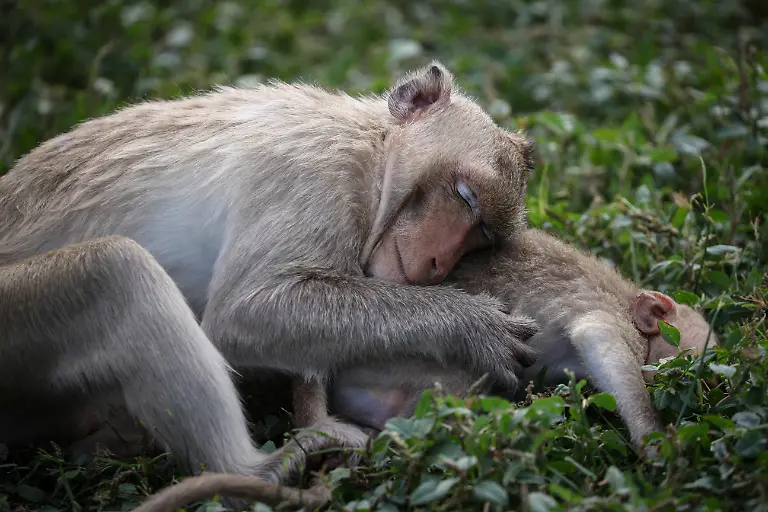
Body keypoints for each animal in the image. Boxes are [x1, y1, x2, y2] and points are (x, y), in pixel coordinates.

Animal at [0, 61, 539, 485]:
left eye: (483, 235)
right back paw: (257, 471)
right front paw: (471, 326)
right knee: (117, 270)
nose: (437, 263)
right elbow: (246, 313)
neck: (373, 152)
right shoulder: (316, 171)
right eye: (465, 195)